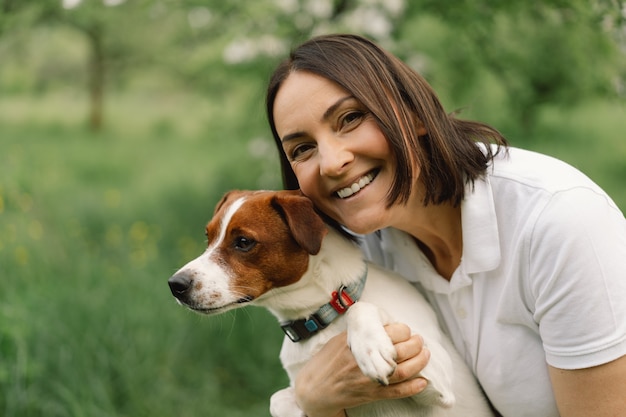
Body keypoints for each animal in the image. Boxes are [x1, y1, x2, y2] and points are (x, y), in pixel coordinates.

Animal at [167, 189, 492, 416]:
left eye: (244, 242)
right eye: (208, 237)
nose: (175, 285)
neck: (319, 317)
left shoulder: (436, 375)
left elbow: (359, 307)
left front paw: (370, 348)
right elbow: (278, 398)